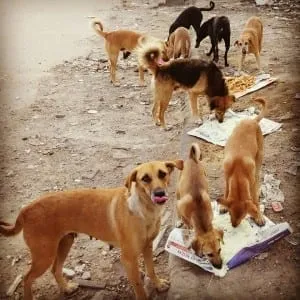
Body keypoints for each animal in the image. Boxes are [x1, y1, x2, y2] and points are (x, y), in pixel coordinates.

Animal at [0, 161, 183, 298]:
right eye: (145, 178)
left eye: (162, 174)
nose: (159, 194)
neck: (144, 209)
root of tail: (26, 210)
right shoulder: (129, 259)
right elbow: (138, 286)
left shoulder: (147, 246)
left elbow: (151, 269)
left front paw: (158, 284)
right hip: (44, 255)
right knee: (27, 278)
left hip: (64, 243)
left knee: (55, 269)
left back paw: (66, 288)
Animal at [216, 98, 268, 227]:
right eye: (230, 213)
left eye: (244, 216)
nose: (234, 226)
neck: (238, 170)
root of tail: (252, 120)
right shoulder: (226, 177)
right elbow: (226, 192)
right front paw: (223, 205)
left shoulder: (252, 184)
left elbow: (255, 201)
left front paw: (258, 215)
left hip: (259, 158)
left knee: (258, 174)